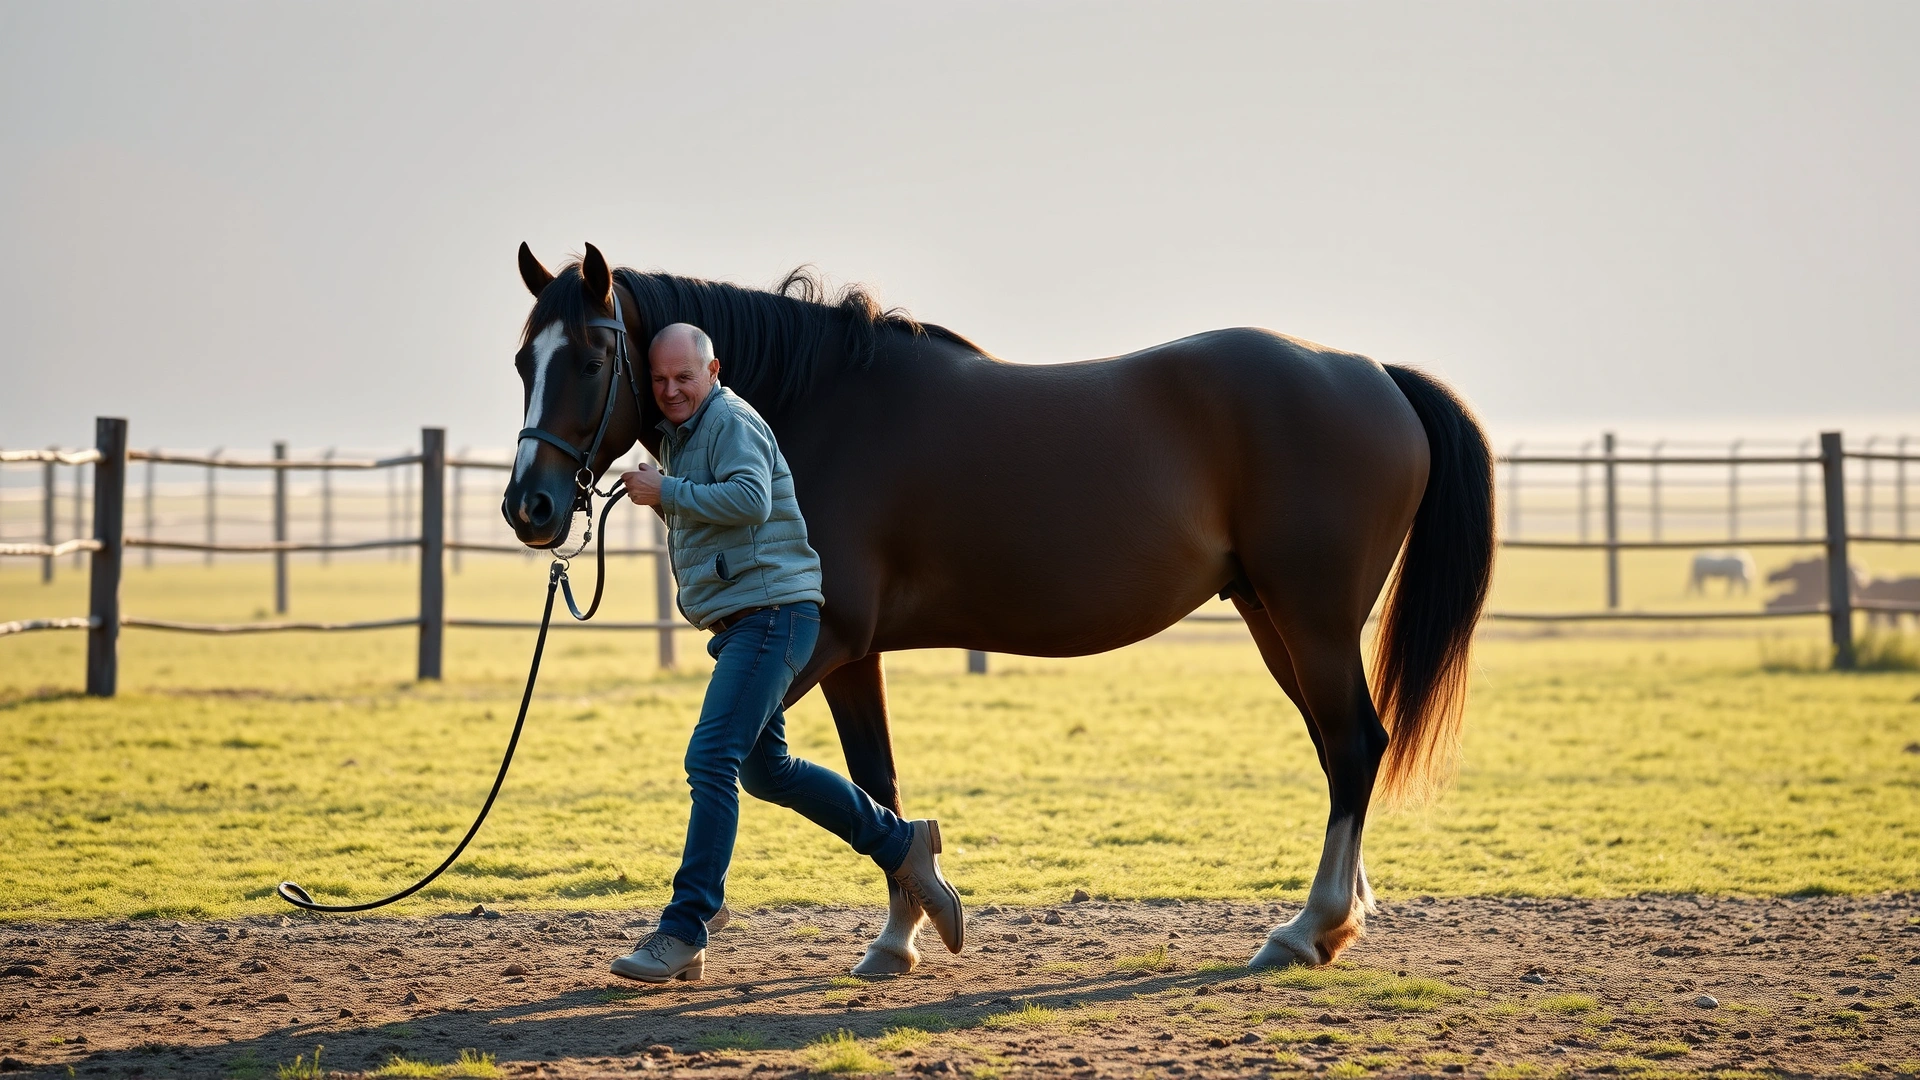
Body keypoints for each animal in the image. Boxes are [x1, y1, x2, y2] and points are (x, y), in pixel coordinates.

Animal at [501, 243, 1495, 974]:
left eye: (591, 358)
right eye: (520, 360)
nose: (530, 508)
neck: (813, 406)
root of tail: (1374, 375)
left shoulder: (823, 642)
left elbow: (753, 765)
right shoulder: (852, 656)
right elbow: (874, 780)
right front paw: (902, 931)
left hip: (1312, 619)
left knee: (1355, 745)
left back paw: (1305, 930)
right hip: (1273, 619)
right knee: (1342, 748)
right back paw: (1337, 920)